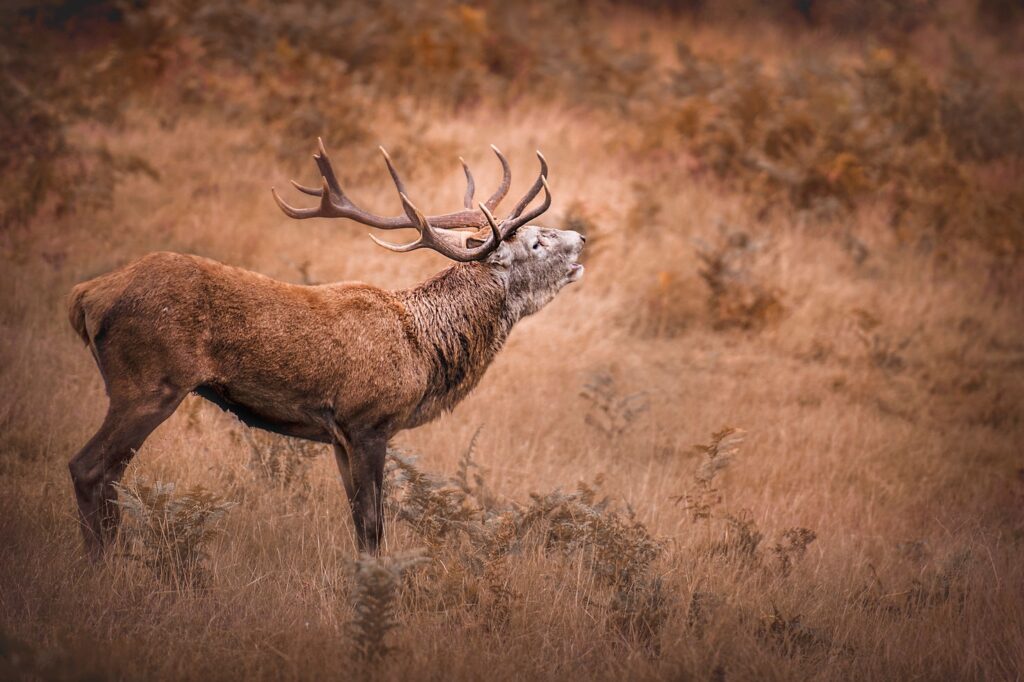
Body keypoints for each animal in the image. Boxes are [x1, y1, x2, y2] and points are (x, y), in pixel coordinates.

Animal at [66, 137, 585, 552]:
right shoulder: (368, 420)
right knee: (89, 468)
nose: (581, 238)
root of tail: (86, 296)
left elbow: (357, 522)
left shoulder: (338, 436)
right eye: (536, 243)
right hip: (149, 383)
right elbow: (373, 526)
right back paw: (105, 565)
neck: (424, 350)